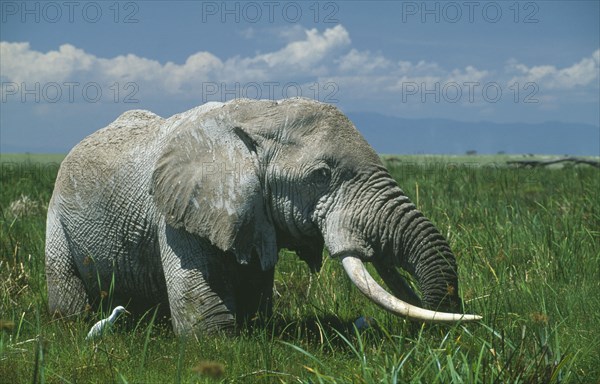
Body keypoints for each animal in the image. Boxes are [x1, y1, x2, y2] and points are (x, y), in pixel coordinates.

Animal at [44, 97, 480, 334]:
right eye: (321, 176)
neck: (261, 112)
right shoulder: (177, 215)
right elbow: (206, 317)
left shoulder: (254, 216)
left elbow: (254, 294)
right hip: (55, 214)